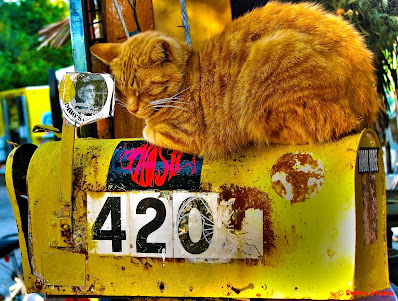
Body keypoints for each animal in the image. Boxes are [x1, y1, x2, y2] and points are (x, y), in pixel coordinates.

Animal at [91, 1, 380, 159]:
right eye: (121, 90)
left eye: (144, 88)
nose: (132, 109)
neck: (187, 78)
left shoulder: (187, 134)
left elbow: (148, 132)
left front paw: (147, 127)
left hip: (269, 59)